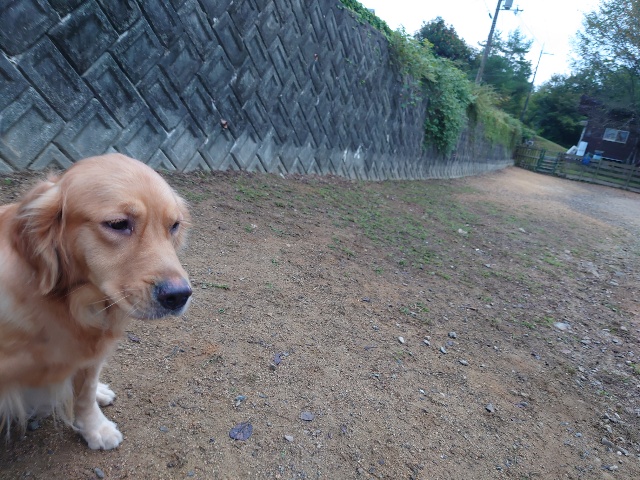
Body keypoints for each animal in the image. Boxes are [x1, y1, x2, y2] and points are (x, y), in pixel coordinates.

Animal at [0, 154, 192, 449]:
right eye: (118, 224)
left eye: (174, 226)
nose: (179, 295)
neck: (73, 306)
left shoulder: (92, 354)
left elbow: (85, 393)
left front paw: (94, 428)